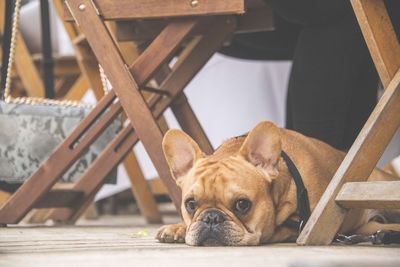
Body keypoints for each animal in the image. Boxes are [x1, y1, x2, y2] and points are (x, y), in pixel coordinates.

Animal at [156, 122, 400, 247]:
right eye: (190, 204)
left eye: (242, 204)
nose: (211, 218)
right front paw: (177, 227)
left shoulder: (301, 224)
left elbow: (276, 229)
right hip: (369, 227)